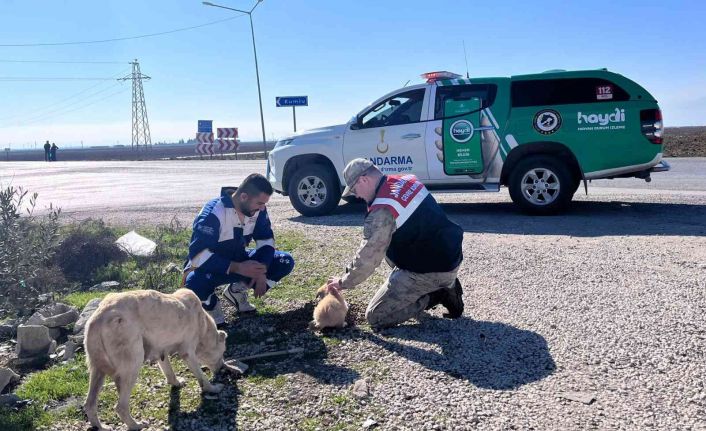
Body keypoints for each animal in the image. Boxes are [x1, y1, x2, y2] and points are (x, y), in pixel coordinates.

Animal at [83, 288, 227, 430]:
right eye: (222, 353)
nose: (222, 369)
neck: (203, 324)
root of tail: (98, 319)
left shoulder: (160, 351)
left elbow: (169, 372)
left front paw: (177, 383)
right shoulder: (187, 352)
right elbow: (202, 377)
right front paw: (213, 388)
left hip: (97, 370)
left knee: (90, 404)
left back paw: (101, 426)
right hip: (133, 361)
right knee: (121, 407)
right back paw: (136, 425)